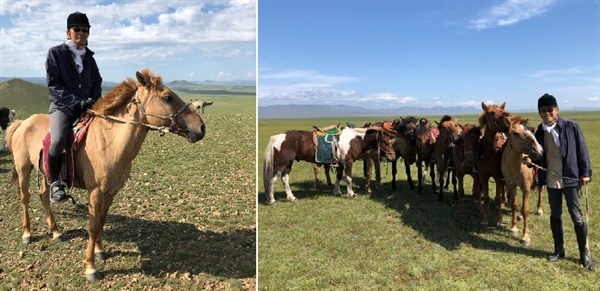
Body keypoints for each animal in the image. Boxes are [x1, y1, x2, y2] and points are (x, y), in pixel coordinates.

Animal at [4, 69, 206, 282]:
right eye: (167, 97)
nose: (201, 127)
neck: (109, 141)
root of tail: (22, 123)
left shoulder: (110, 192)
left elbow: (101, 222)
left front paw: (100, 252)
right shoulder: (95, 192)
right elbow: (93, 226)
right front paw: (91, 268)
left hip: (46, 172)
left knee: (44, 195)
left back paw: (56, 232)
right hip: (23, 168)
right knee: (25, 198)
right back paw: (27, 234)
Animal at [264, 126, 396, 205]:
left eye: (391, 141)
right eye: (385, 142)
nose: (392, 157)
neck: (354, 139)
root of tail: (278, 137)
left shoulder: (341, 163)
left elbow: (338, 177)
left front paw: (337, 192)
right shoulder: (348, 162)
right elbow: (348, 178)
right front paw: (351, 193)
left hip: (288, 163)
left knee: (285, 179)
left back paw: (291, 197)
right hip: (282, 163)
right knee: (272, 179)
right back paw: (272, 200)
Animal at [502, 115, 544, 248]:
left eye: (531, 130)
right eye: (515, 133)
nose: (538, 150)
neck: (515, 165)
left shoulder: (526, 187)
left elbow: (525, 210)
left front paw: (525, 237)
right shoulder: (511, 185)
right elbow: (514, 205)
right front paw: (514, 228)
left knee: (540, 191)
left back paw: (539, 210)